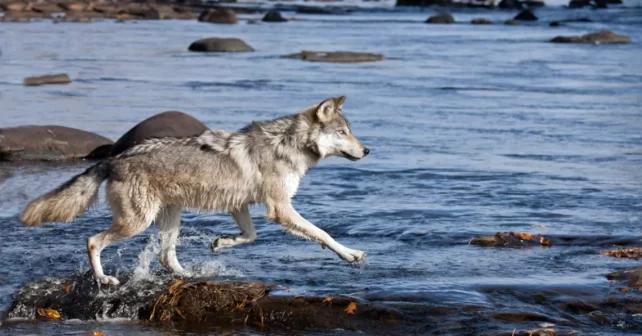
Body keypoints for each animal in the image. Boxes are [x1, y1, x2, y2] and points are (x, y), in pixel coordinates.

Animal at [20, 96, 368, 284]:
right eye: (343, 132)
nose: (367, 151)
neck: (287, 145)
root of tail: (114, 158)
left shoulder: (240, 205)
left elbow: (250, 236)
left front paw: (221, 242)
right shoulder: (280, 209)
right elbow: (322, 234)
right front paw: (350, 254)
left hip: (171, 217)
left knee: (165, 257)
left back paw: (188, 275)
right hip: (138, 223)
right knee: (92, 240)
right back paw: (104, 278)